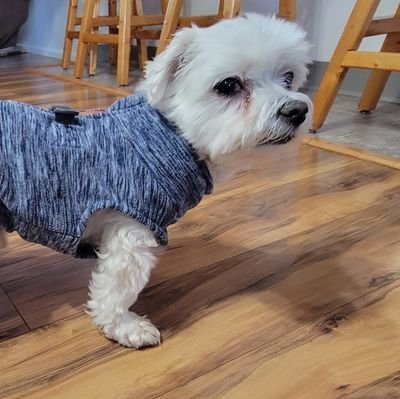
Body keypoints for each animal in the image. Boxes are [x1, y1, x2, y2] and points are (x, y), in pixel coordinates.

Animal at [0, 14, 310, 348]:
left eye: (289, 77)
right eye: (229, 85)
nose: (298, 110)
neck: (170, 136)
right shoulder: (132, 230)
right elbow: (117, 289)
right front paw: (124, 326)